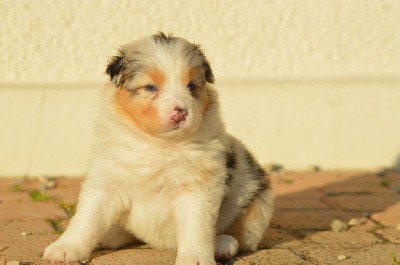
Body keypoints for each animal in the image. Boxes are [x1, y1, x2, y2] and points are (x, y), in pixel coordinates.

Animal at [44, 32, 276, 262]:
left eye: (192, 86)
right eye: (150, 87)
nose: (180, 112)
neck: (157, 144)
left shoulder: (197, 188)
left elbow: (195, 228)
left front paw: (195, 259)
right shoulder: (106, 181)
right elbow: (87, 218)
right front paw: (65, 249)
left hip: (259, 203)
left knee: (244, 236)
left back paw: (223, 244)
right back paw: (111, 234)